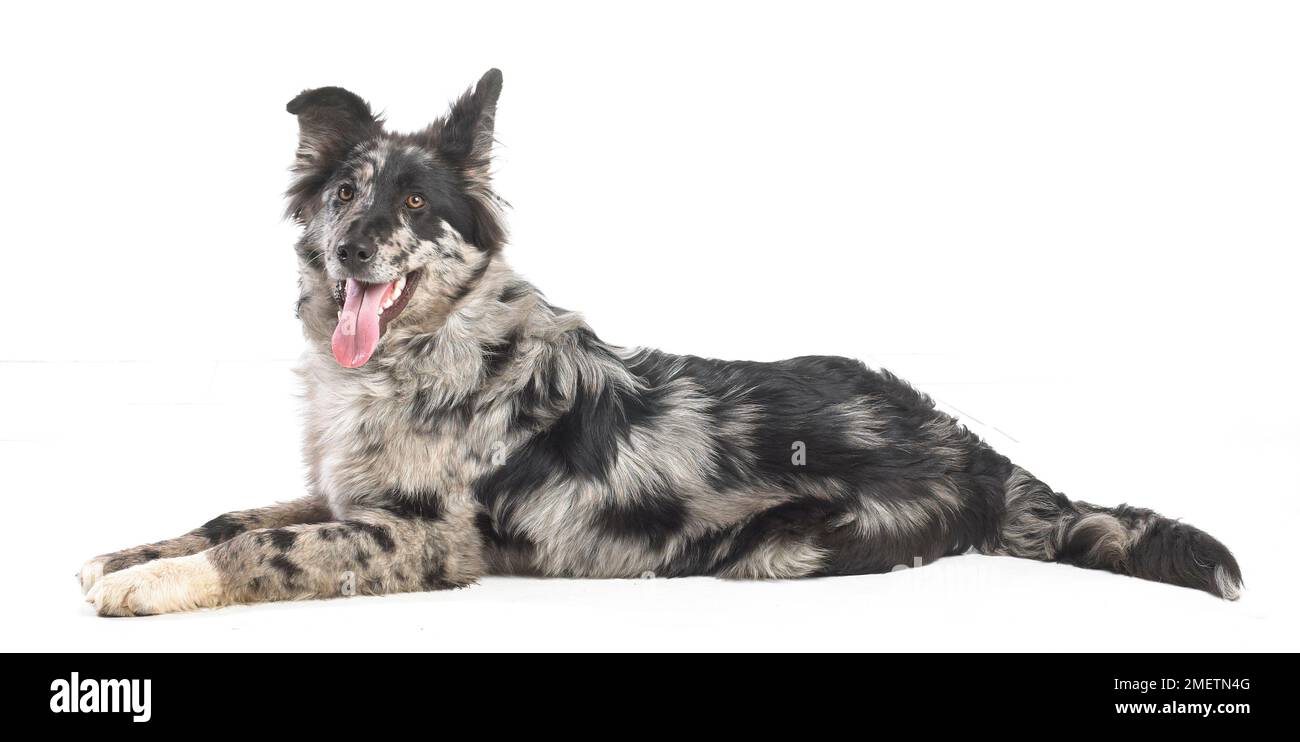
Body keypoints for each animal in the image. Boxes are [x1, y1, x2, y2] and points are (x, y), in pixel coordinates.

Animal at [76, 68, 1242, 615]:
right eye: (345, 192)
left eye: (413, 202)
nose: (356, 247)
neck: (426, 348)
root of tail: (977, 447)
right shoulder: (346, 493)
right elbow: (228, 515)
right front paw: (127, 556)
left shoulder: (424, 537)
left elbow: (262, 546)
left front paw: (150, 588)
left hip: (776, 549)